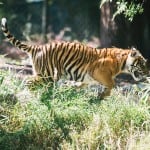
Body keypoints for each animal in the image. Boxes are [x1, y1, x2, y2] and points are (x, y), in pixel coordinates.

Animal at [0, 17, 147, 99]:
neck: (122, 62)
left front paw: (68, 89)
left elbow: (77, 85)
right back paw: (33, 94)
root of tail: (37, 47)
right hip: (47, 75)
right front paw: (101, 96)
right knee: (28, 81)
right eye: (143, 64)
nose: (148, 73)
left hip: (45, 75)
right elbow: (112, 84)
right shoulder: (98, 72)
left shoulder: (86, 79)